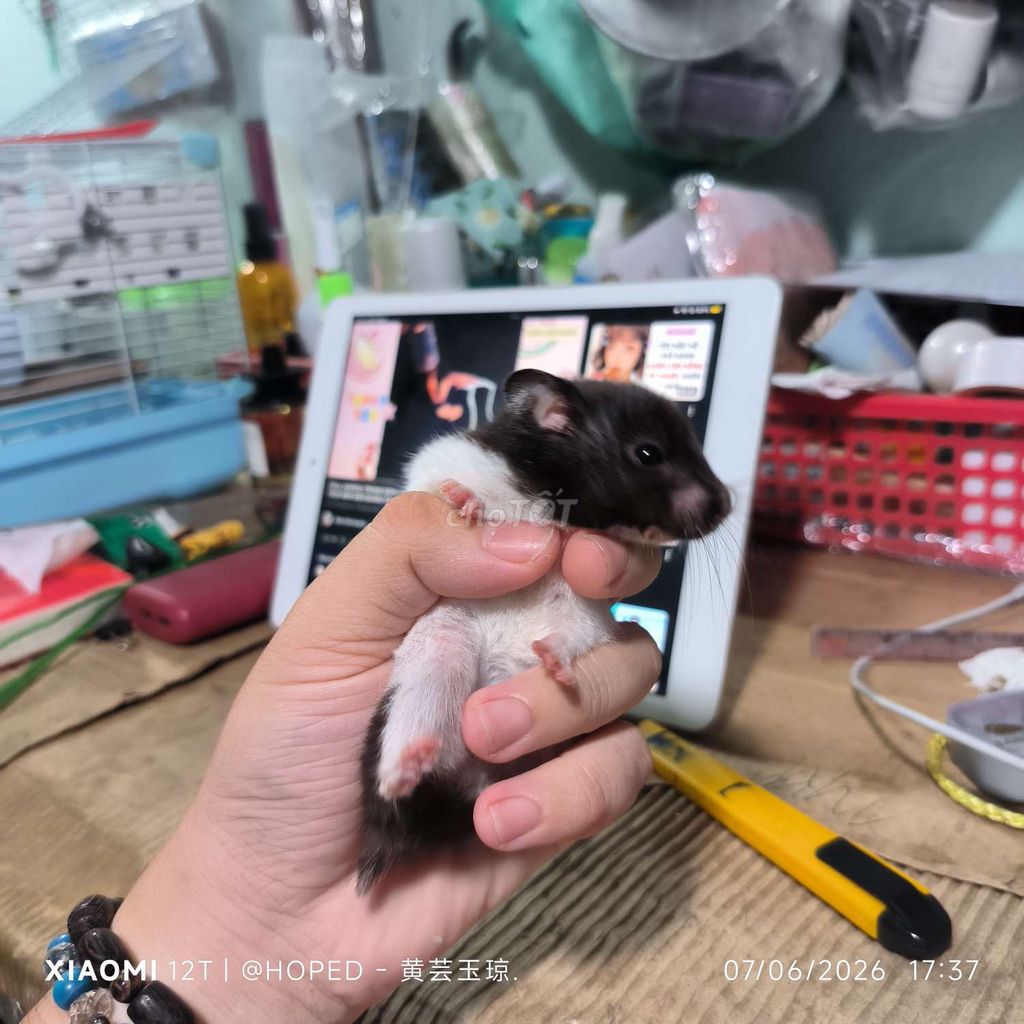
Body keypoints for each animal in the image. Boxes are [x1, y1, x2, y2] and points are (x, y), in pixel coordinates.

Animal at [357, 368, 730, 893]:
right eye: (647, 453)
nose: (728, 505)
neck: (557, 509)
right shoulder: (442, 460)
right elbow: (442, 487)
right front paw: (466, 503)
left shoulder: (592, 605)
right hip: (436, 651)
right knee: (404, 758)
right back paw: (406, 766)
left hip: (570, 629)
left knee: (563, 641)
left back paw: (553, 665)